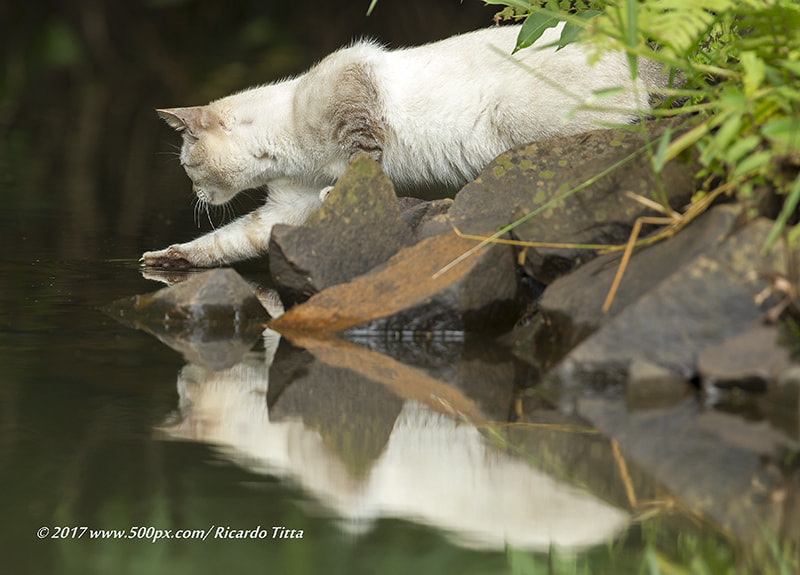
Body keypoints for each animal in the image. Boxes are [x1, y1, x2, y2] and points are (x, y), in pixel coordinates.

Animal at [142, 20, 668, 268]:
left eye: (189, 167)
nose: (195, 194)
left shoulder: (358, 117)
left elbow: (362, 164)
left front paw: (340, 188)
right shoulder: (284, 210)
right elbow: (225, 241)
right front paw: (168, 256)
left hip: (518, 118)